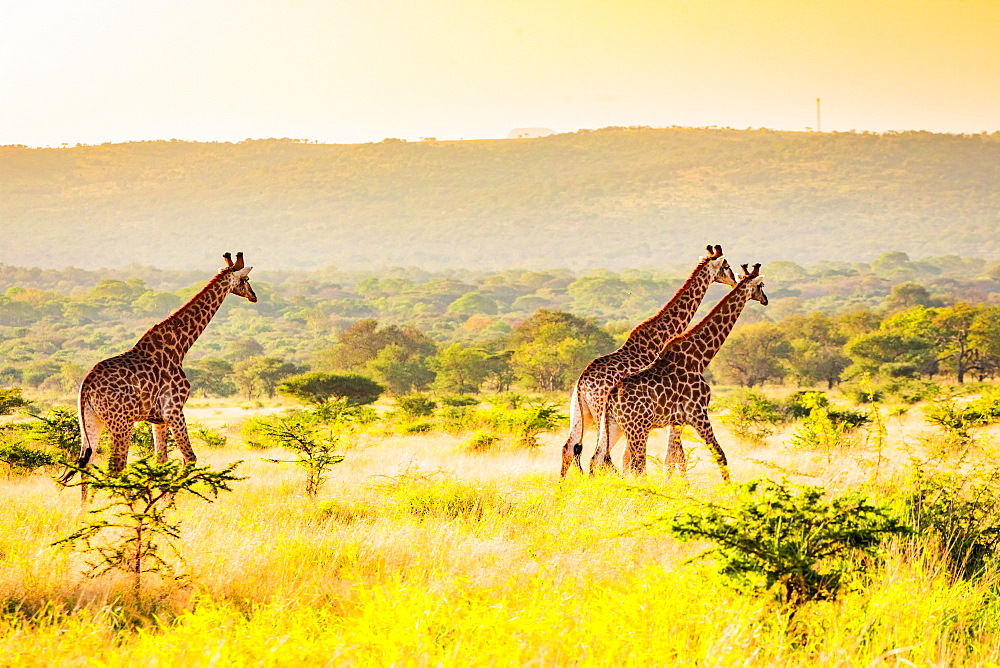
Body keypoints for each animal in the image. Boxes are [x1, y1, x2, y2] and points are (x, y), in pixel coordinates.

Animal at [63, 253, 258, 498]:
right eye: (246, 278)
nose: (254, 296)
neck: (179, 347)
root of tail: (86, 385)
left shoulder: (157, 418)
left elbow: (161, 461)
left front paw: (159, 500)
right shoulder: (174, 409)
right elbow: (190, 458)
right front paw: (164, 500)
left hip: (91, 421)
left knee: (85, 465)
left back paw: (87, 509)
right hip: (121, 421)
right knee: (116, 467)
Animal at [560, 244, 740, 474]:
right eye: (726, 265)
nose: (735, 280)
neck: (658, 337)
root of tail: (582, 383)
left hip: (580, 412)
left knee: (570, 447)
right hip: (604, 415)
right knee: (601, 457)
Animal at [596, 264, 768, 482]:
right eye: (761, 285)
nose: (765, 299)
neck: (699, 358)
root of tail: (611, 398)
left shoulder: (678, 420)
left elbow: (673, 459)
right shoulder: (698, 412)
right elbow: (719, 454)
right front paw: (730, 489)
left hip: (614, 426)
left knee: (601, 459)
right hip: (638, 428)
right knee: (636, 464)